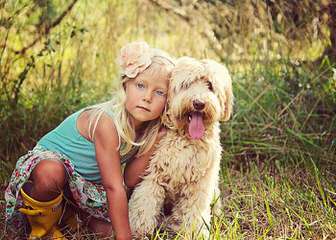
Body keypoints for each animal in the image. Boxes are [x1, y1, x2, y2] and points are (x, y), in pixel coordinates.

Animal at [127, 56, 232, 238]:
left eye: (210, 85)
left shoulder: (199, 186)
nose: (198, 103)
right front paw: (139, 231)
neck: (186, 138)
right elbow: (144, 205)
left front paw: (195, 234)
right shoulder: (152, 176)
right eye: (186, 84)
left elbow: (195, 214)